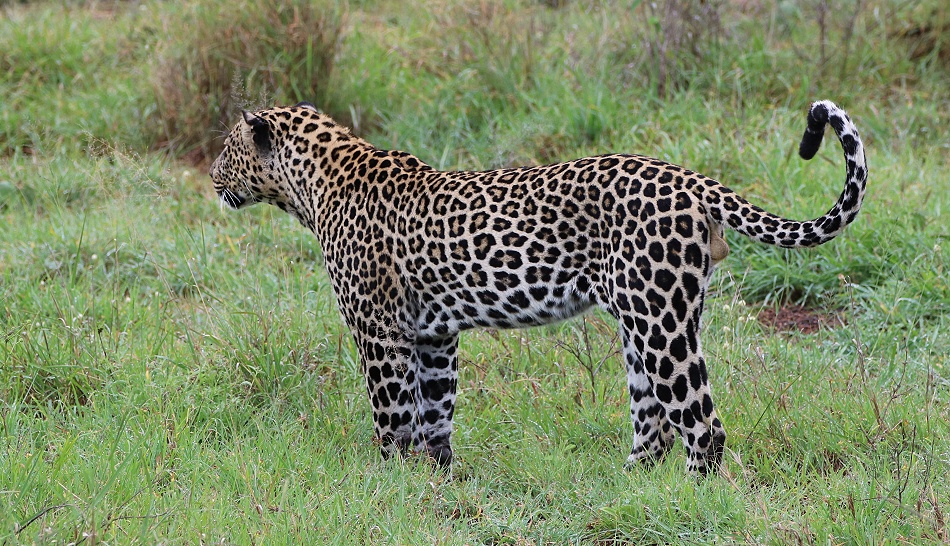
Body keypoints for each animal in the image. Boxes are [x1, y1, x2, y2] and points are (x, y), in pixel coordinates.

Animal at [209, 100, 867, 475]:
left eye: (226, 149)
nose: (212, 179)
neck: (312, 185)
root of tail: (689, 178)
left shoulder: (381, 332)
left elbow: (392, 415)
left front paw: (386, 482)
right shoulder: (433, 336)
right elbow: (435, 414)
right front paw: (435, 482)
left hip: (660, 323)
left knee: (702, 424)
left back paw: (692, 496)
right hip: (648, 319)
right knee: (654, 421)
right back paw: (628, 489)